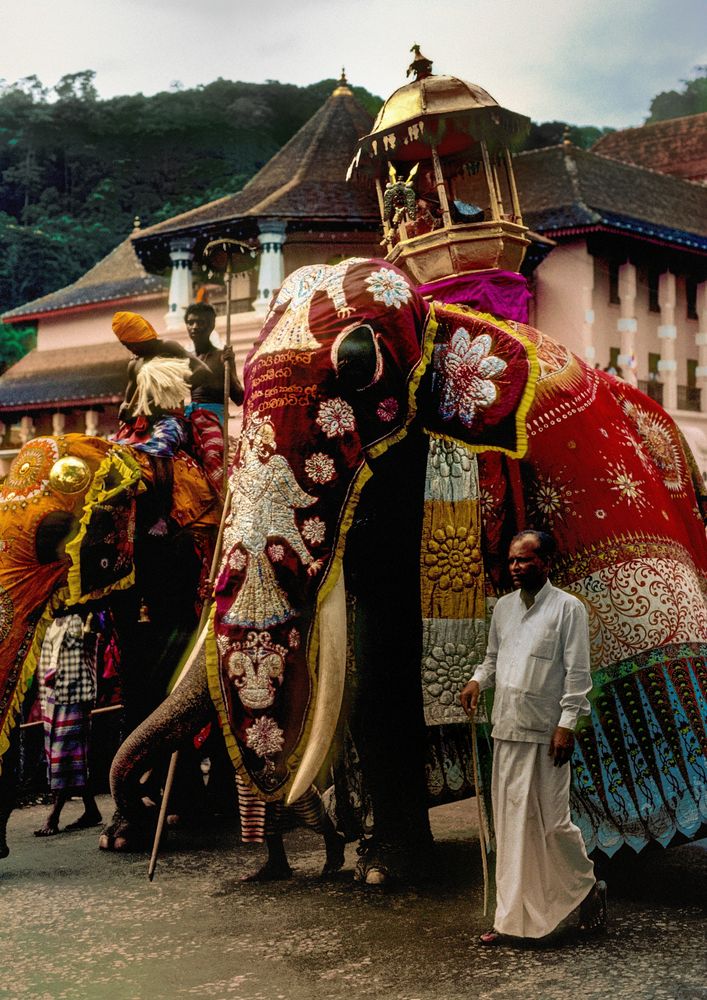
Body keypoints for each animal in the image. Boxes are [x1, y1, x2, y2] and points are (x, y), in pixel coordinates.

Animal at [0, 434, 220, 856]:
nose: (1, 849)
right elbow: (136, 660)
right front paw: (130, 829)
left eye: (52, 533)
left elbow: (161, 658)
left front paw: (130, 829)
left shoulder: (176, 555)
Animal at [112, 258, 707, 884]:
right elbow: (376, 654)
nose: (131, 836)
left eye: (358, 367)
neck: (437, 318)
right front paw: (383, 872)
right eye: (243, 384)